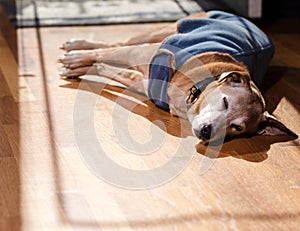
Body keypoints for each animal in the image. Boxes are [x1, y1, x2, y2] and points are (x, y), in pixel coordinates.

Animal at [58, 11, 298, 144]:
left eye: (237, 128)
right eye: (225, 101)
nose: (207, 132)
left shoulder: (148, 84)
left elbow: (108, 68)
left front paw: (79, 68)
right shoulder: (143, 54)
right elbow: (105, 54)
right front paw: (76, 59)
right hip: (161, 33)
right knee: (117, 44)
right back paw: (76, 46)